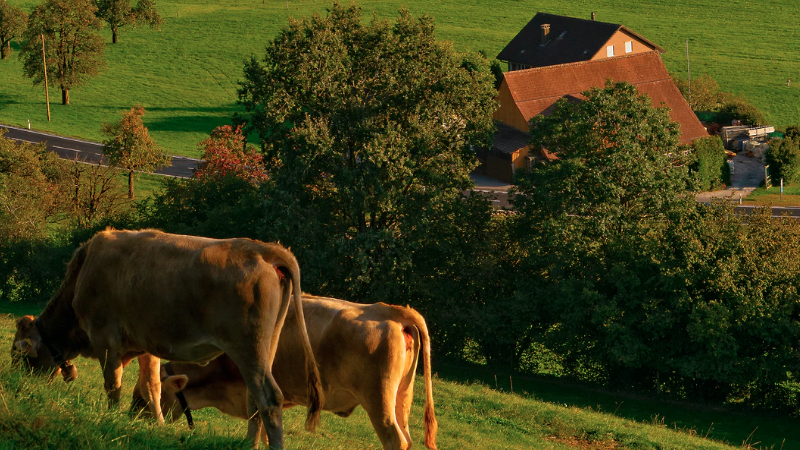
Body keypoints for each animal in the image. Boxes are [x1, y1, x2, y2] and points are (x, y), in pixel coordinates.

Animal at [10, 230, 324, 448]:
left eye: (17, 353)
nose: (19, 387)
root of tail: (260, 248)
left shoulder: (105, 338)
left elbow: (113, 384)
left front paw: (109, 419)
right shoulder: (146, 345)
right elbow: (152, 386)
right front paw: (156, 425)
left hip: (248, 348)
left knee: (268, 398)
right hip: (265, 347)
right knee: (254, 400)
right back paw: (248, 444)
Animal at [131, 296, 438, 450]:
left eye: (143, 398)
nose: (131, 419)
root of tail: (390, 311)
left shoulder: (251, 384)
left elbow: (256, 418)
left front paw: (248, 445)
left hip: (378, 398)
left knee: (395, 439)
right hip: (402, 398)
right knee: (407, 437)